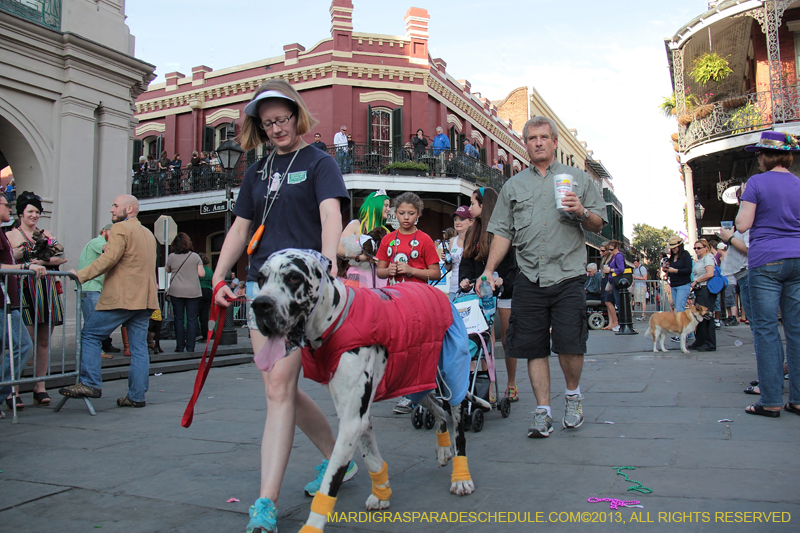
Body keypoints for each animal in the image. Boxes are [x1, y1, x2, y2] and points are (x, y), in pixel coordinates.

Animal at [250, 249, 488, 532]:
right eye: (260, 278)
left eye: (294, 277)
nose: (259, 305)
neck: (335, 320)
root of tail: (441, 294)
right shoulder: (356, 417)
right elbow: (371, 458)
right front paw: (382, 493)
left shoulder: (352, 421)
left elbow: (330, 483)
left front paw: (312, 526)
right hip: (414, 379)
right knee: (438, 408)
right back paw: (442, 449)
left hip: (453, 375)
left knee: (458, 426)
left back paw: (461, 477)